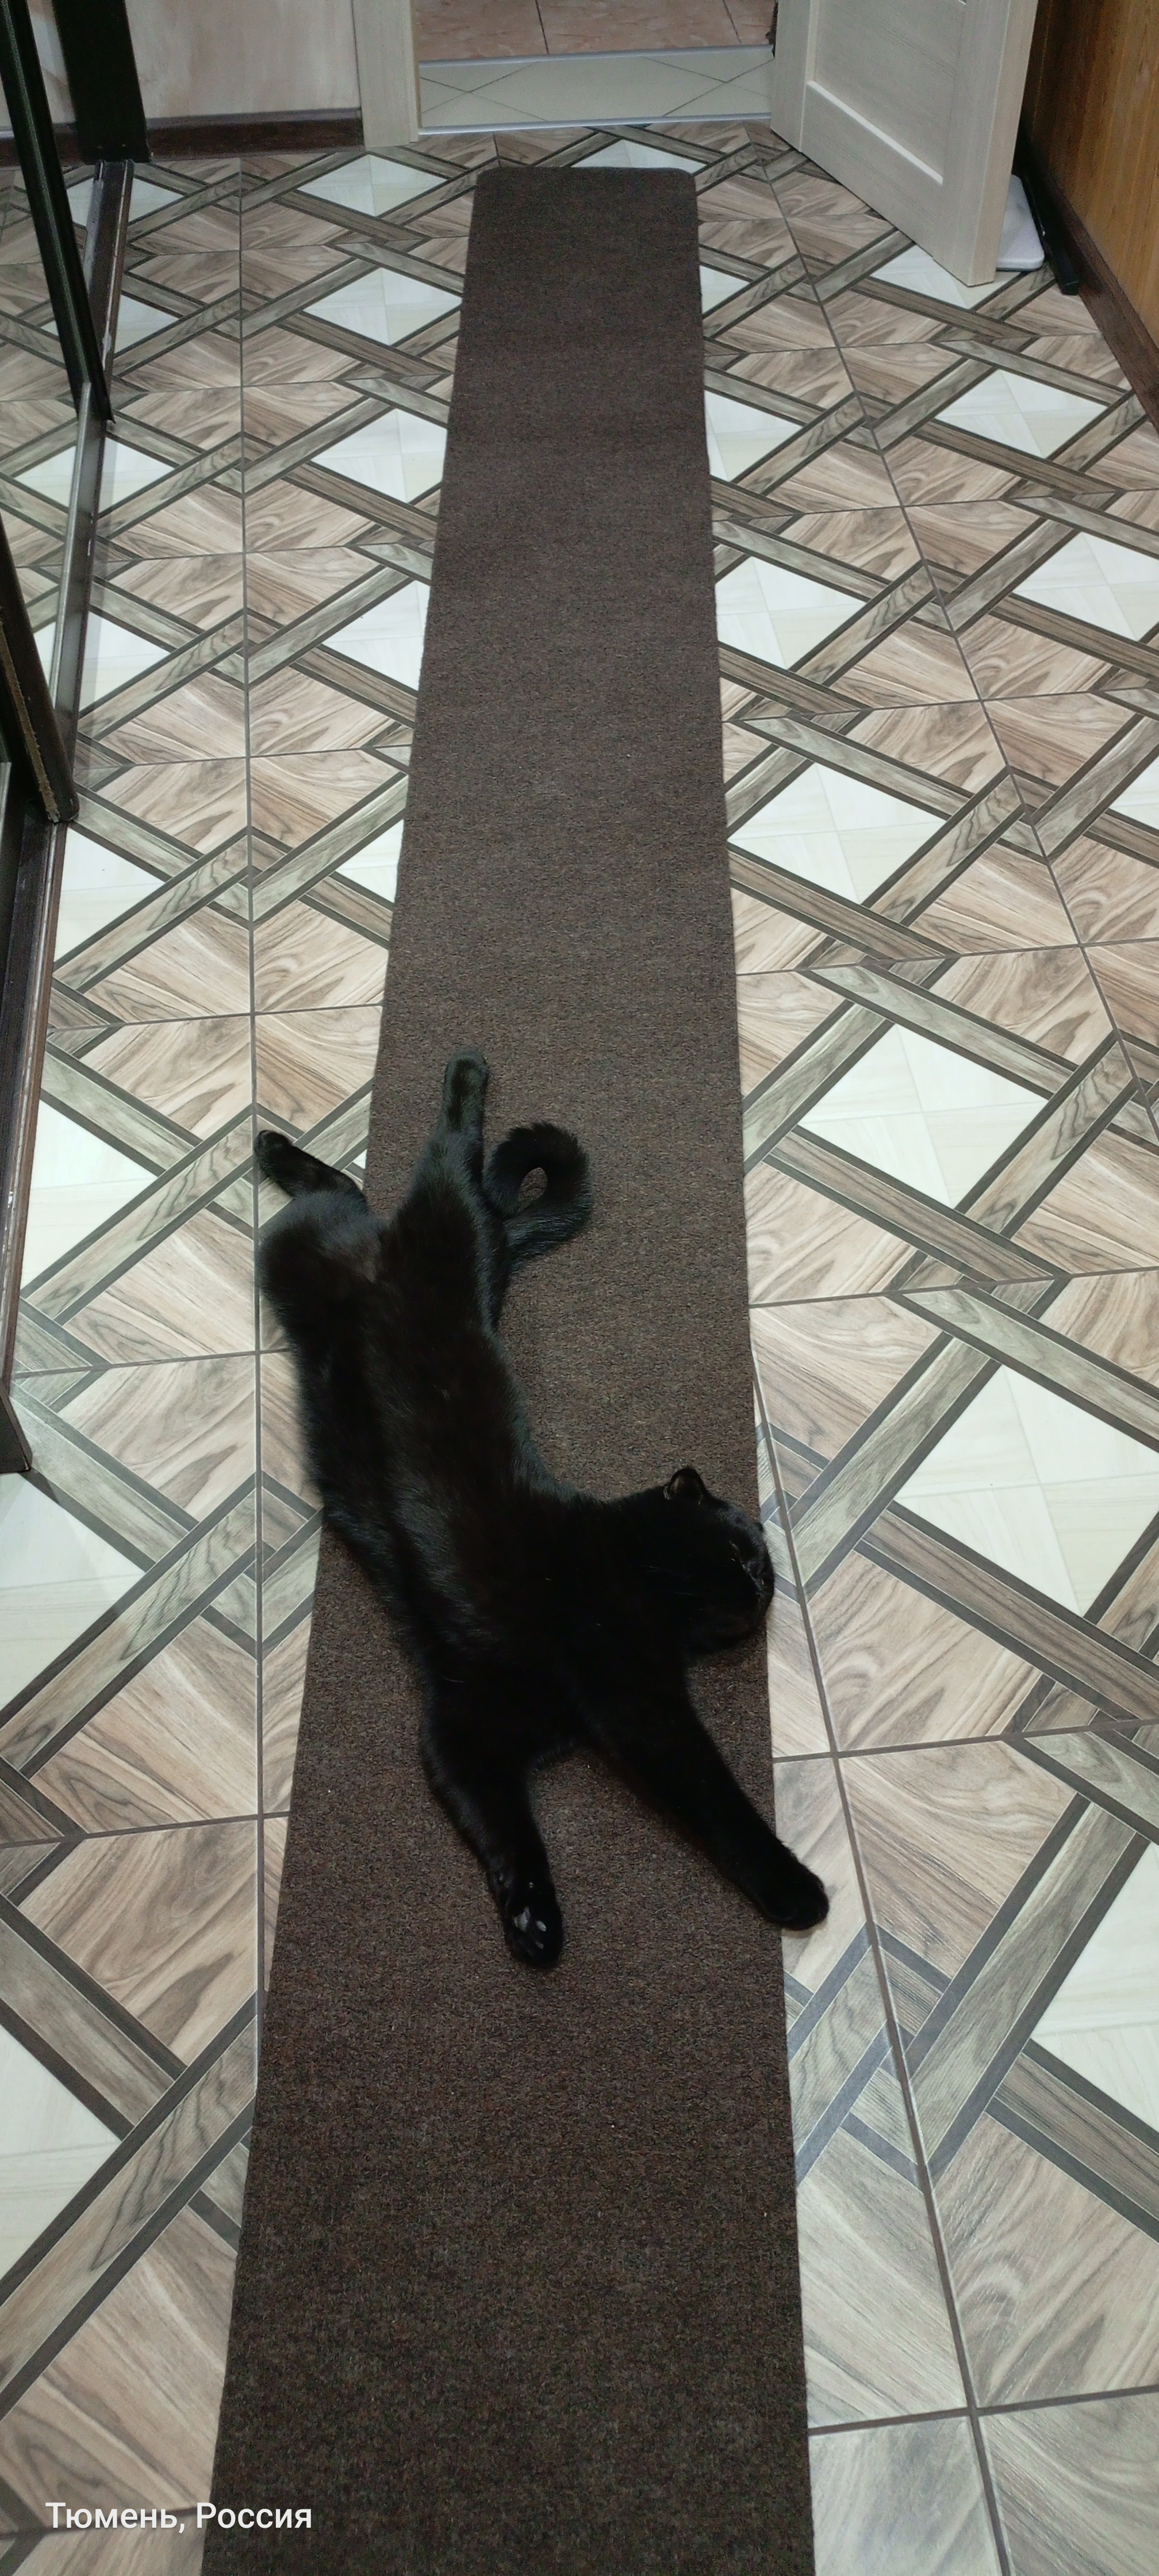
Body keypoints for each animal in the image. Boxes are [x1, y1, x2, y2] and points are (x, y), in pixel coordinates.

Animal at [257, 1049, 829, 1966]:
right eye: (745, 1556)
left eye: (761, 1572)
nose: (764, 1587)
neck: (630, 1561)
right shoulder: (640, 1706)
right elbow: (715, 1799)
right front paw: (794, 1889)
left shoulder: (465, 1730)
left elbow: (503, 1824)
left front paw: (531, 1915)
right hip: (424, 1225)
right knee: (442, 1160)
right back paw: (451, 1080)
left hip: (298, 1256)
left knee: (345, 1192)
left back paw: (275, 1150)